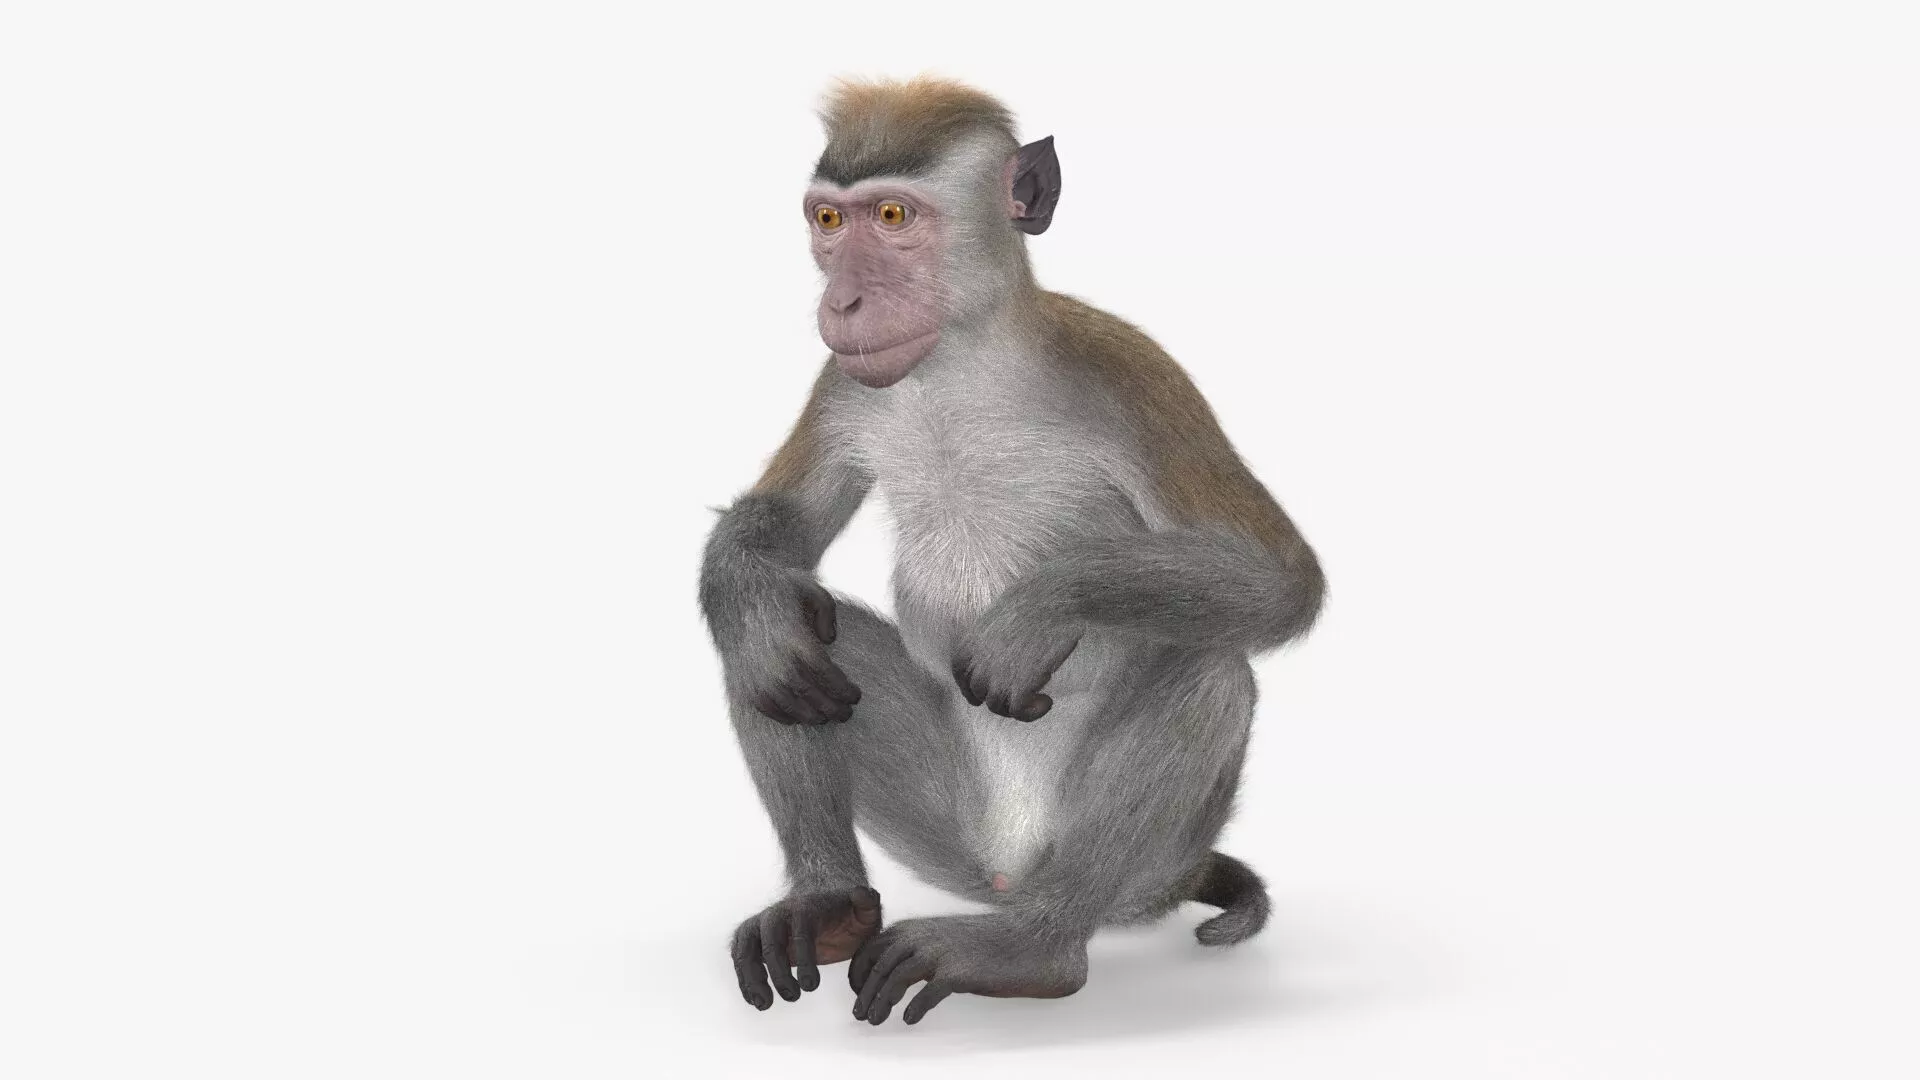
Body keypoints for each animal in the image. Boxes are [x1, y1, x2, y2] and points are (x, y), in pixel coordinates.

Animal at [698, 77, 1324, 1027]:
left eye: (893, 215)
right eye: (829, 220)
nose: (842, 303)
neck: (962, 362)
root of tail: (1004, 875)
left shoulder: (1128, 370)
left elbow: (1282, 576)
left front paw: (1038, 612)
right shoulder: (844, 381)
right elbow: (785, 528)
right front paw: (752, 597)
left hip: (1137, 865)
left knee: (1209, 669)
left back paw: (1035, 948)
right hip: (945, 829)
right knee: (789, 639)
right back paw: (828, 900)